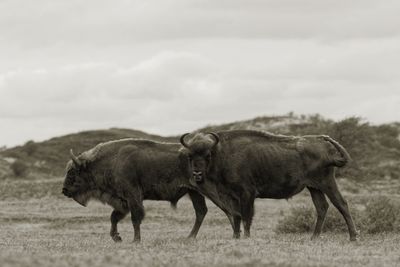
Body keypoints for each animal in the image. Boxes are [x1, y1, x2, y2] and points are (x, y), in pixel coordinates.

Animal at [62, 139, 231, 244]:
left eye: (72, 172)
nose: (64, 190)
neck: (113, 160)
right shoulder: (123, 201)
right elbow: (114, 217)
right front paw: (117, 238)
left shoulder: (133, 197)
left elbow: (135, 218)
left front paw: (135, 240)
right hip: (194, 193)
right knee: (201, 212)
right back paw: (190, 237)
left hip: (208, 191)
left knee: (226, 208)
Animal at [180, 131, 358, 242]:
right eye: (190, 155)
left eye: (208, 155)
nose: (197, 174)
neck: (222, 152)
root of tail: (325, 146)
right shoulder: (231, 196)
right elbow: (236, 215)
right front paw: (235, 237)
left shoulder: (247, 194)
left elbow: (246, 216)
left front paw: (246, 237)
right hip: (314, 188)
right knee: (322, 207)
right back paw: (313, 238)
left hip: (326, 183)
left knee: (341, 204)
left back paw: (353, 237)